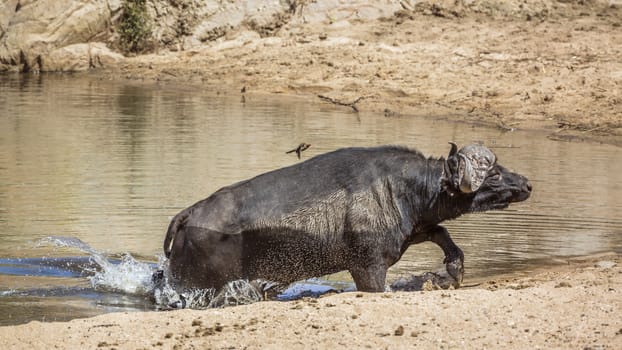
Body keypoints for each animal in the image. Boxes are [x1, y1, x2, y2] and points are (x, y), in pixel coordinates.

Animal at [162, 142, 532, 292]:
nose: (526, 184)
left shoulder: (415, 228)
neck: (403, 188)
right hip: (195, 283)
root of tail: (189, 214)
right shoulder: (368, 268)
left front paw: (451, 272)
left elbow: (442, 235)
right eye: (493, 174)